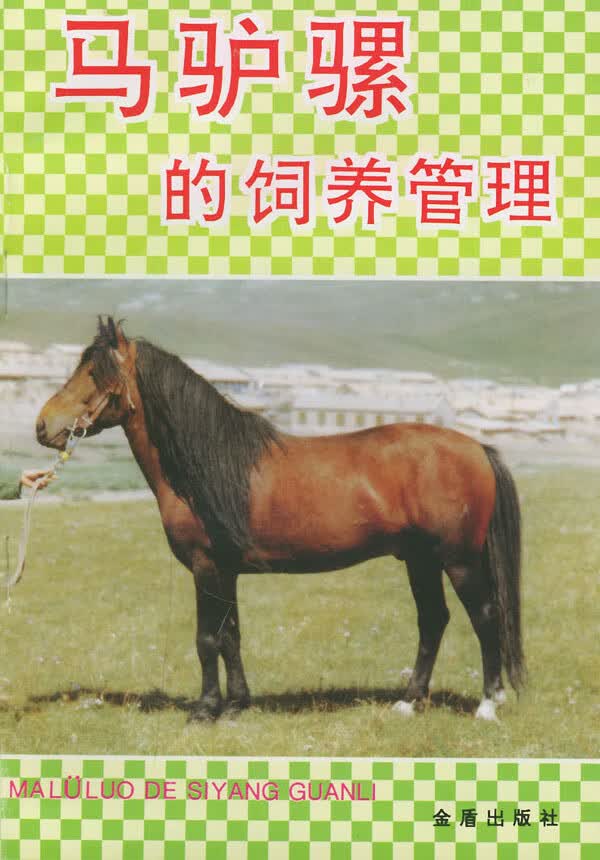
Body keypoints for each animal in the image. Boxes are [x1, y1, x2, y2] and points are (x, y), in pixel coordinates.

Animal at [36, 317, 524, 722]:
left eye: (95, 372)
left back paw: (486, 705)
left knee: (484, 617)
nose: (43, 425)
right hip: (421, 561)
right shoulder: (226, 571)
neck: (211, 464)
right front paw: (236, 705)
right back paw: (408, 702)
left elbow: (206, 639)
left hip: (458, 561)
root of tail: (477, 448)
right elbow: (230, 636)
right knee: (433, 621)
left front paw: (205, 710)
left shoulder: (206, 567)